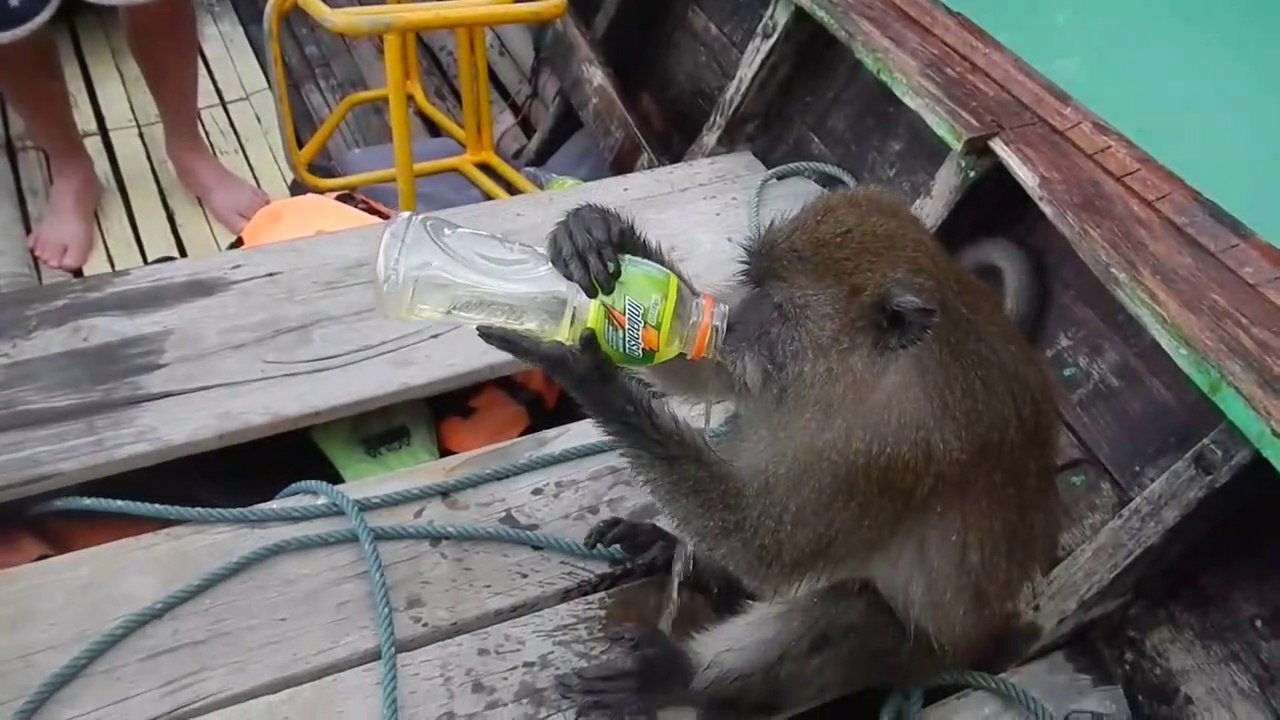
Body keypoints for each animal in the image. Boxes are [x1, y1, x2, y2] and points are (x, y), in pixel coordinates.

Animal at [476, 186, 1063, 718]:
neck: (859, 373)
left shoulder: (894, 445)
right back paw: (688, 562)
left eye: (777, 306)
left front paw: (583, 370)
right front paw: (598, 233)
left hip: (920, 655)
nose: (737, 318)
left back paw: (677, 677)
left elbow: (767, 545)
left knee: (856, 610)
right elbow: (708, 365)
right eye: (753, 287)